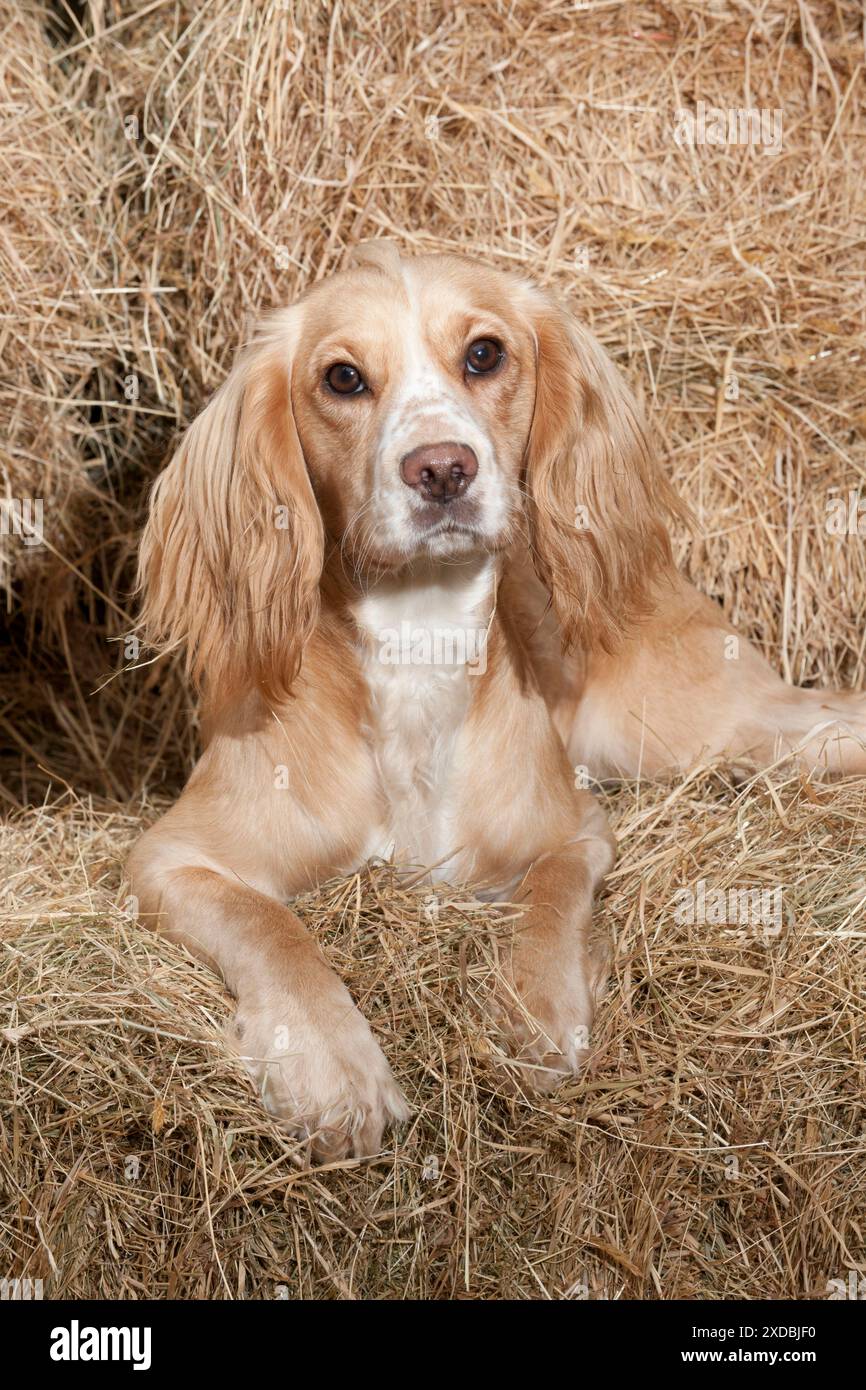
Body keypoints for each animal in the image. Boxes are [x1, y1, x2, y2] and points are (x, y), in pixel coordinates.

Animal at [127, 241, 866, 1162]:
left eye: (484, 354)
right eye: (342, 377)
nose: (442, 469)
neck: (419, 643)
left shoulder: (578, 829)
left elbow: (548, 901)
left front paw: (536, 1016)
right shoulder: (170, 859)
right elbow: (272, 928)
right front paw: (332, 1067)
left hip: (706, 727)